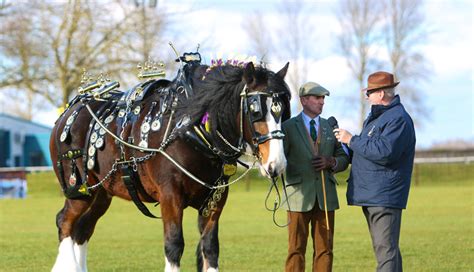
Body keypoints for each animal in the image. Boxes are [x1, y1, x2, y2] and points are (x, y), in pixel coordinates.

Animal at [50, 58, 290, 272]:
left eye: (284, 112)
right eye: (256, 111)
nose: (276, 164)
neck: (190, 130)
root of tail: (69, 110)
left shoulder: (215, 199)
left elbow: (210, 247)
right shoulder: (170, 196)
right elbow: (174, 244)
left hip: (102, 193)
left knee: (82, 229)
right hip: (80, 190)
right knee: (65, 222)